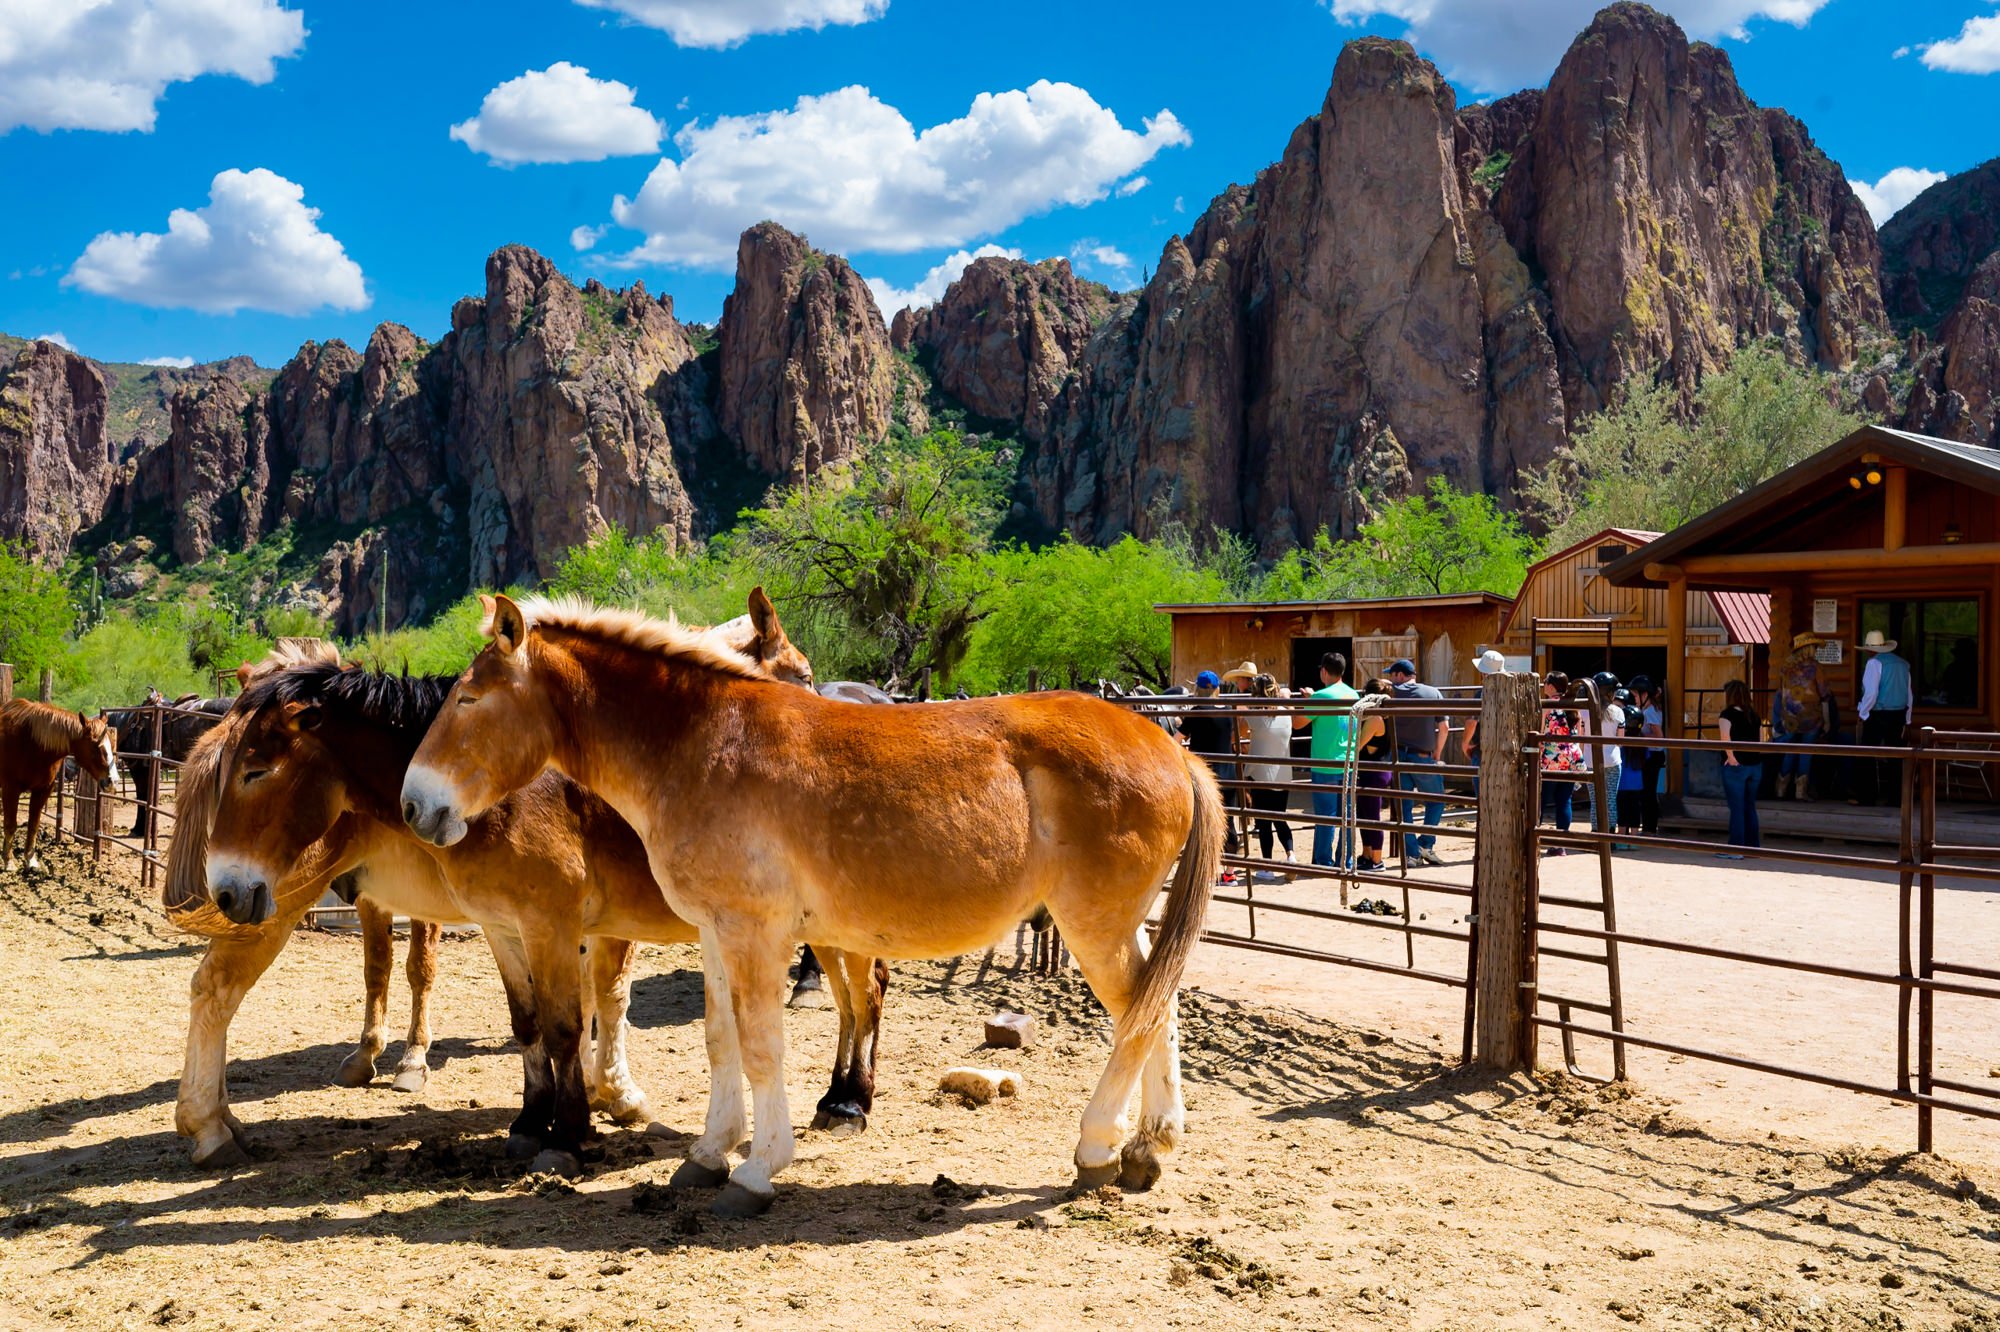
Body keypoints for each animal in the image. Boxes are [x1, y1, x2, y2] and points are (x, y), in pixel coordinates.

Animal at [1, 696, 118, 872]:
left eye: (111, 745)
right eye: (96, 747)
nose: (112, 781)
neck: (31, 742)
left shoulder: (43, 790)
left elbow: (33, 824)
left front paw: (30, 860)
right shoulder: (10, 789)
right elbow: (10, 824)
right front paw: (8, 861)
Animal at [402, 592, 1216, 1216]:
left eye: (468, 699)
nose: (415, 804)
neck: (702, 745)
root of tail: (1171, 747)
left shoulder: (755, 934)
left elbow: (764, 1046)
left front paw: (759, 1168)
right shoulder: (715, 933)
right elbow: (722, 1041)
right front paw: (708, 1154)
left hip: (1093, 924)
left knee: (1138, 1020)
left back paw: (1096, 1148)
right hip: (1117, 927)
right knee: (1159, 1008)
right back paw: (1149, 1147)